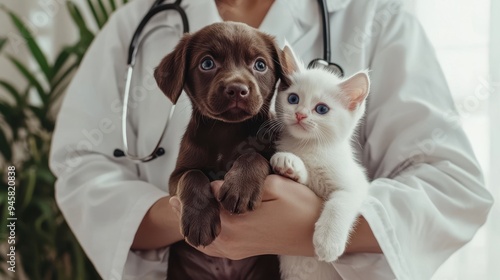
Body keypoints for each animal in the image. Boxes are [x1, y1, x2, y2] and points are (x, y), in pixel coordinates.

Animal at [270, 46, 372, 280]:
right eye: (293, 98)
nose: (299, 114)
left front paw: (328, 242)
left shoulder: (356, 184)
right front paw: (290, 163)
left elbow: (340, 202)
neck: (310, 147)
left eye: (322, 109)